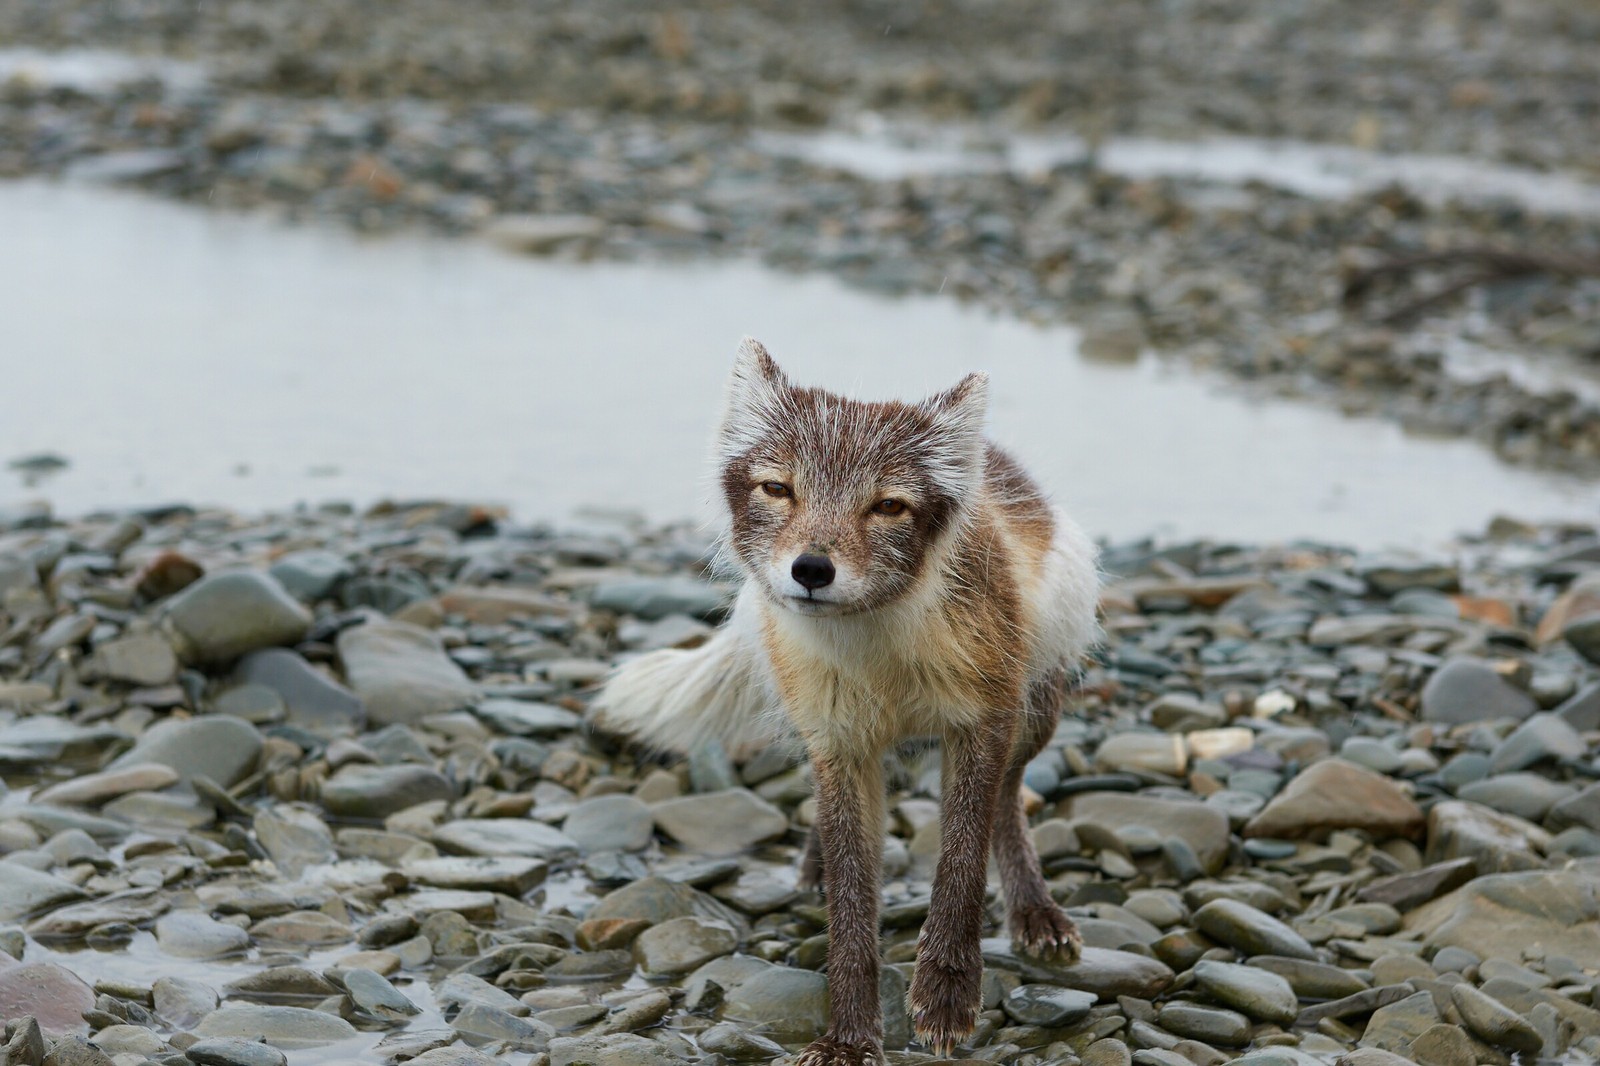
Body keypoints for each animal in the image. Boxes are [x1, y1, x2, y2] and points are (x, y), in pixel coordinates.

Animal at [595, 342, 1107, 1062]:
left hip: (1035, 712)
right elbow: (850, 900)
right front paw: (849, 1038)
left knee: (1008, 801)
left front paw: (947, 993)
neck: (877, 650)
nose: (811, 570)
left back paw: (1034, 910)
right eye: (778, 489)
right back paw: (811, 866)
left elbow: (961, 860)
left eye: (888, 506)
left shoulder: (983, 723)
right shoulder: (839, 743)